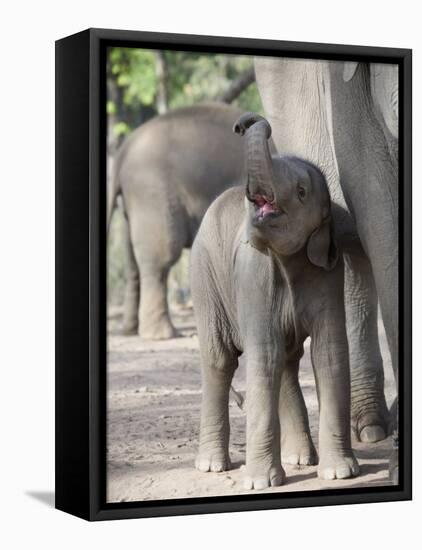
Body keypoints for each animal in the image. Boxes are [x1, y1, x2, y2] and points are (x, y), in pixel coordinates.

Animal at [107, 101, 246, 338]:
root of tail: (121, 154)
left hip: (132, 205)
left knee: (133, 261)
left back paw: (130, 330)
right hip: (152, 194)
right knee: (161, 259)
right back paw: (162, 334)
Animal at [191, 113, 360, 492]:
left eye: (301, 192)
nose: (244, 123)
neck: (289, 260)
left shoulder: (329, 273)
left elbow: (329, 352)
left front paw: (340, 473)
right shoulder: (253, 276)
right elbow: (263, 352)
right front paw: (259, 483)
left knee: (285, 360)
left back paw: (301, 459)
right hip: (205, 277)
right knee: (220, 359)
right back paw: (212, 466)